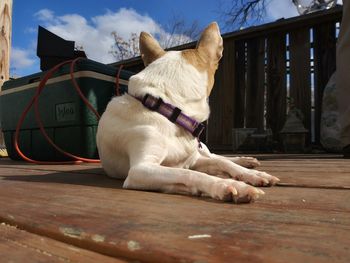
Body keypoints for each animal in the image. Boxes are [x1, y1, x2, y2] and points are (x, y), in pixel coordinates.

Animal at [97, 22, 280, 204]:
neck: (167, 108)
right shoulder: (140, 170)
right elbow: (189, 173)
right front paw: (229, 185)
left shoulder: (194, 159)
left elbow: (222, 164)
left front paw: (251, 175)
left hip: (202, 150)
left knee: (218, 157)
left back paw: (246, 161)